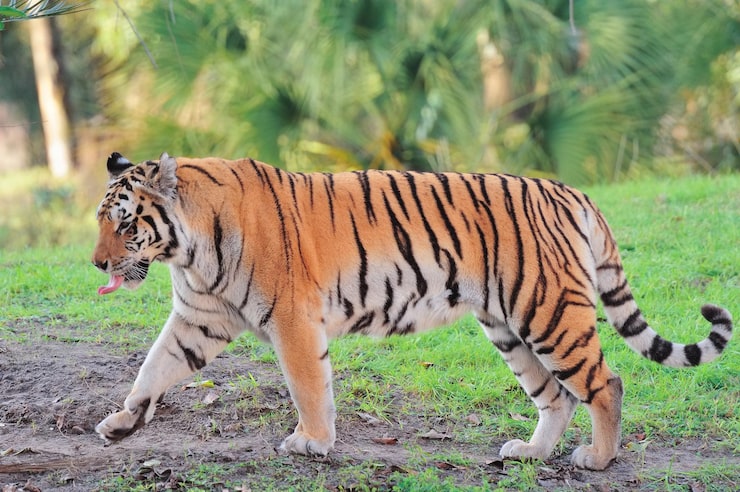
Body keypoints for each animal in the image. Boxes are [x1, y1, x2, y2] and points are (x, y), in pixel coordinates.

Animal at [91, 151, 732, 471]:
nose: (97, 265)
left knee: (605, 383)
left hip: (548, 311)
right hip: (508, 327)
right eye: (103, 221)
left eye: (123, 223)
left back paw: (597, 460)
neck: (188, 249)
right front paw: (122, 423)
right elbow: (153, 367)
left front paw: (312, 443)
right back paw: (531, 454)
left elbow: (307, 386)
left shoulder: (292, 320)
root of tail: (570, 191)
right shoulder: (198, 319)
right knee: (556, 396)